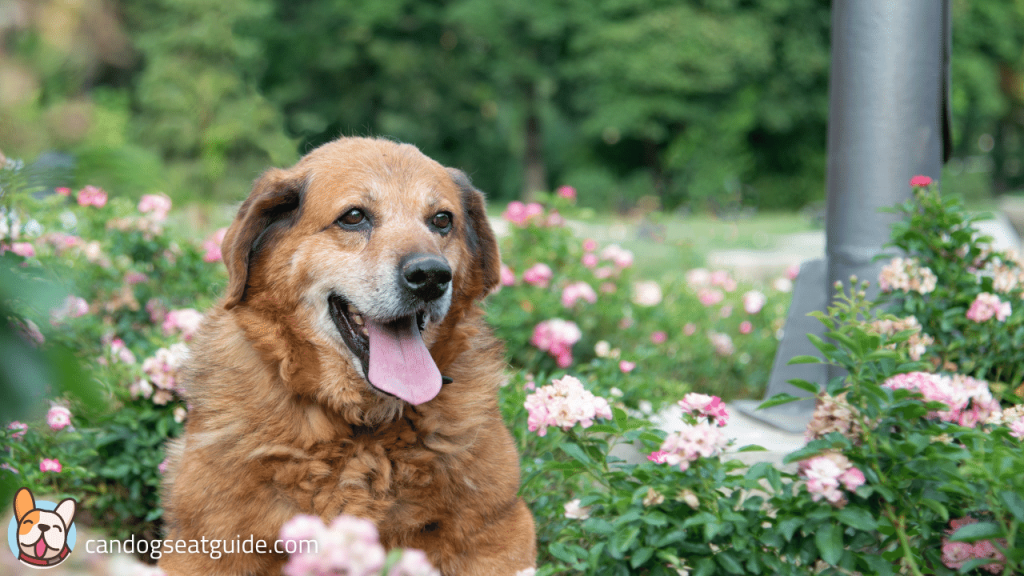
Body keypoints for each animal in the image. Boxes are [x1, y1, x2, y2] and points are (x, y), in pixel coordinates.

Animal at [157, 136, 536, 569]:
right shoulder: (206, 543)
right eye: (354, 216)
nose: (431, 276)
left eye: (442, 220)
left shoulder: (501, 527)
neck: (362, 430)